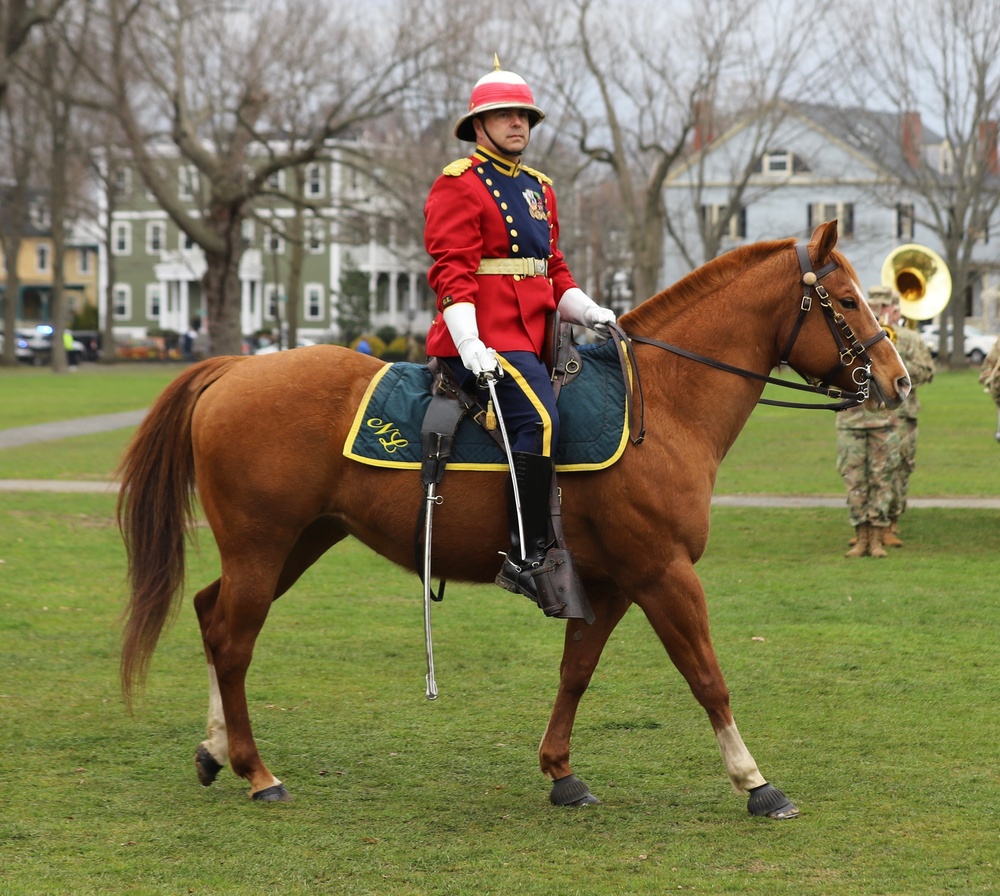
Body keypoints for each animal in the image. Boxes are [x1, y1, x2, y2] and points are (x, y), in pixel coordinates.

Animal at [119, 222, 916, 820]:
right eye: (847, 300)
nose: (900, 380)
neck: (663, 403)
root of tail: (233, 368)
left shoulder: (610, 581)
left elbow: (575, 673)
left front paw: (561, 771)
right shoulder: (663, 573)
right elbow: (707, 676)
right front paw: (755, 782)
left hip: (298, 542)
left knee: (212, 615)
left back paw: (216, 750)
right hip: (263, 546)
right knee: (233, 641)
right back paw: (257, 771)